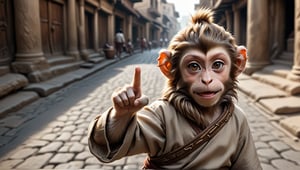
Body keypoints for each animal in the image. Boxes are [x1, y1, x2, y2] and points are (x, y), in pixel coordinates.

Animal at [88, 8, 262, 169]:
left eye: (217, 65)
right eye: (194, 66)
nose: (207, 80)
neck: (205, 112)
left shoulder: (242, 122)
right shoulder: (159, 113)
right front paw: (126, 104)